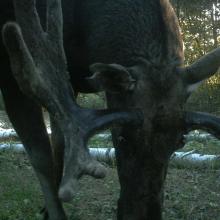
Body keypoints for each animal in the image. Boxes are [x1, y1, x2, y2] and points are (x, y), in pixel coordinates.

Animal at [1, 0, 220, 219]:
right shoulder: (14, 73)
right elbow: (40, 155)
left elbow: (60, 143)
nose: (140, 215)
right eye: (122, 137)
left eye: (181, 141)